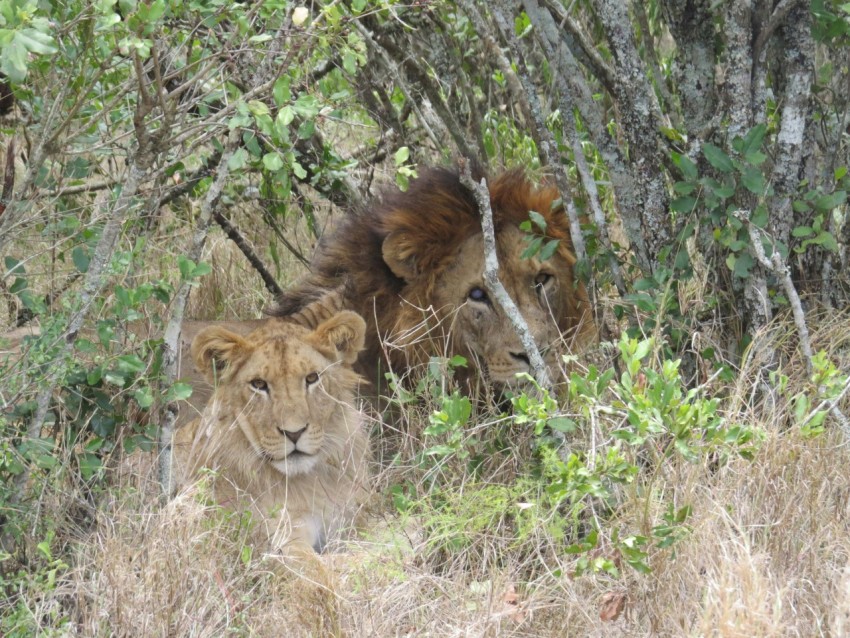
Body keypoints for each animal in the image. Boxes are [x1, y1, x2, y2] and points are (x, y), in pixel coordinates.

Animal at [172, 312, 368, 556]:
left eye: (312, 378)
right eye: (259, 384)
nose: (294, 433)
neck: (308, 481)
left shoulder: (356, 520)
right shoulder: (278, 541)